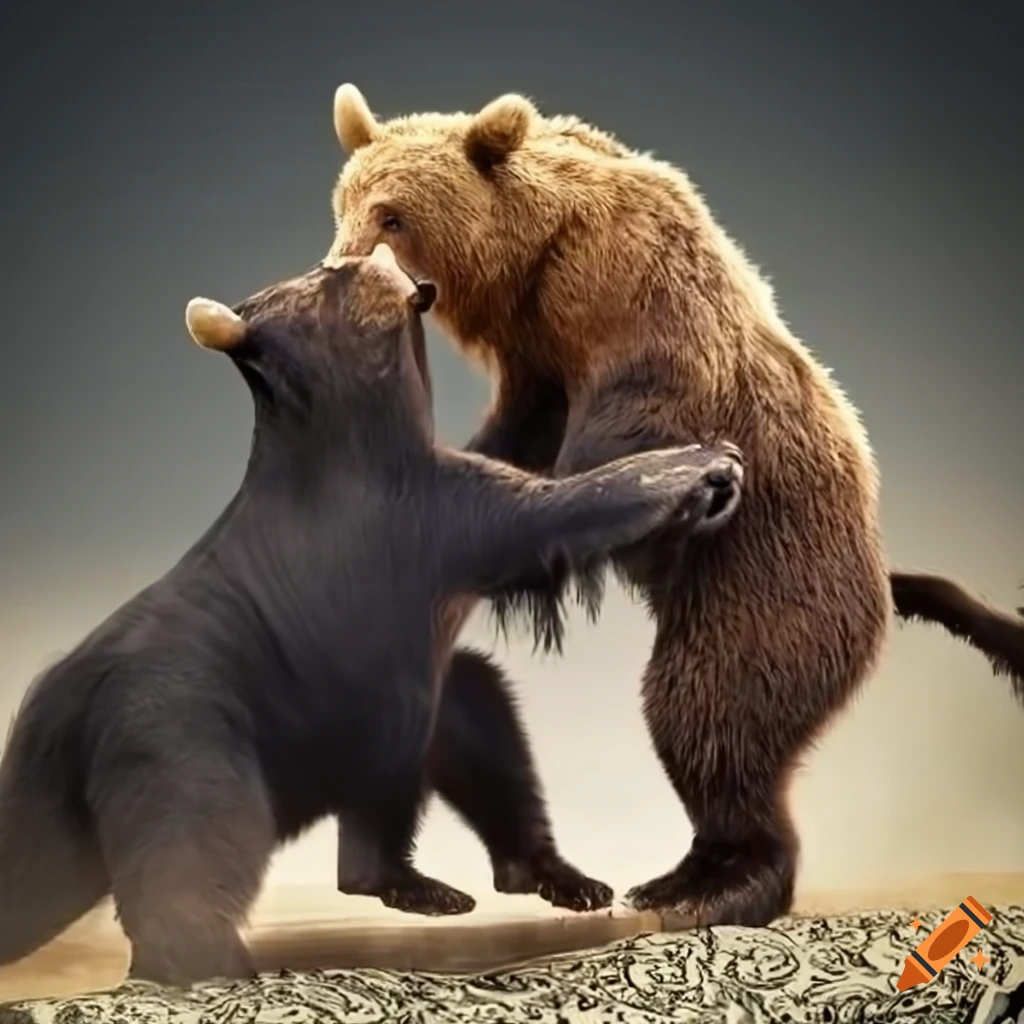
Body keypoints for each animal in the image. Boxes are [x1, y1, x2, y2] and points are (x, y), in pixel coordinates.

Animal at [0, 243, 746, 987]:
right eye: (330, 272)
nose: (372, 250)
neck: (343, 434)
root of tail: (59, 722)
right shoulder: (422, 517)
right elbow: (558, 509)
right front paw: (697, 463)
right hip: (181, 724)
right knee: (198, 843)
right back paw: (215, 966)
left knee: (478, 731)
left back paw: (525, 877)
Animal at [327, 83, 1024, 931]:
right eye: (344, 203)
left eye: (393, 215)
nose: (338, 269)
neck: (534, 263)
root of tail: (879, 577)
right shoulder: (537, 358)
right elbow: (517, 433)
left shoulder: (638, 302)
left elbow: (637, 414)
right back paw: (675, 876)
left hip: (766, 586)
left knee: (709, 708)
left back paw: (721, 881)